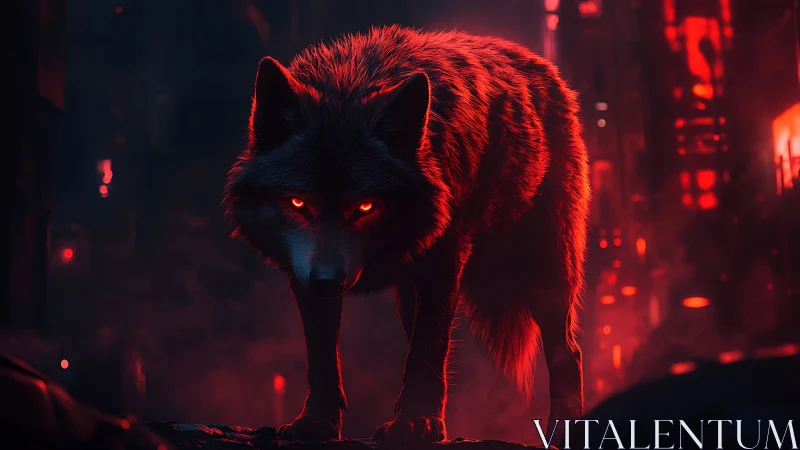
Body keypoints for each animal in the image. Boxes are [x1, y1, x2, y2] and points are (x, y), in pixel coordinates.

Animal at [223, 25, 589, 443]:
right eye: (298, 202)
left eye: (365, 206)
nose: (328, 281)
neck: (349, 83)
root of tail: (544, 67)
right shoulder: (303, 273)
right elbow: (322, 354)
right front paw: (317, 422)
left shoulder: (443, 262)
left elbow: (428, 349)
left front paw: (416, 423)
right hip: (407, 296)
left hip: (546, 276)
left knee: (568, 352)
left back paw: (562, 432)